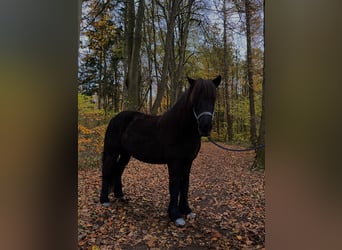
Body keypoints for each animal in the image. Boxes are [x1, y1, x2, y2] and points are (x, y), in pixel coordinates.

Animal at [100, 75, 220, 226]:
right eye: (195, 99)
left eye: (213, 98)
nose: (205, 127)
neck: (181, 128)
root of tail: (115, 118)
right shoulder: (174, 162)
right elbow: (174, 186)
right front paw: (175, 215)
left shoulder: (188, 162)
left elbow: (185, 185)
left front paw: (186, 210)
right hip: (112, 152)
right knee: (107, 170)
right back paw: (104, 200)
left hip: (126, 154)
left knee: (118, 170)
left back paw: (120, 196)